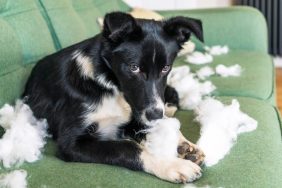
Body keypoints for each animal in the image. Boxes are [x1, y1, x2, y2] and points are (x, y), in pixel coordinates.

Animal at [22, 11, 205, 184]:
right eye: (134, 67)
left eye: (166, 68)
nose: (155, 115)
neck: (108, 85)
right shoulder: (71, 143)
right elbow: (127, 147)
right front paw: (171, 165)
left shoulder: (136, 112)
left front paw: (180, 144)